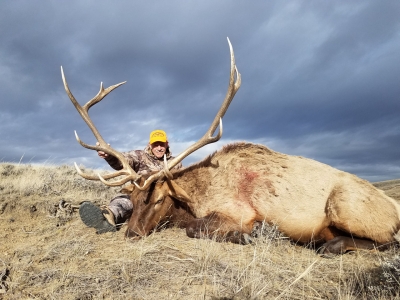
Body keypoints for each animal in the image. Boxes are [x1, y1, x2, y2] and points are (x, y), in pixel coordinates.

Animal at [61, 37, 400, 253]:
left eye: (158, 200)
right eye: (133, 195)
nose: (131, 235)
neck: (195, 197)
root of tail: (394, 206)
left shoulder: (239, 212)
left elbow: (195, 228)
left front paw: (250, 236)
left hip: (344, 204)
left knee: (388, 241)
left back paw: (330, 244)